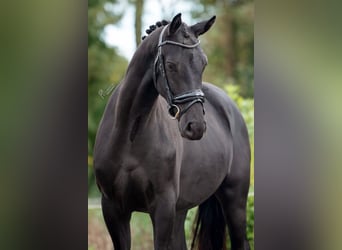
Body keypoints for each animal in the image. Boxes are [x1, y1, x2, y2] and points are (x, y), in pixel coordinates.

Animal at [93, 13, 251, 250]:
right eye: (170, 65)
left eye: (203, 63)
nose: (196, 126)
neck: (129, 136)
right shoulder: (113, 209)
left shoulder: (163, 207)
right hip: (180, 211)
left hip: (235, 202)